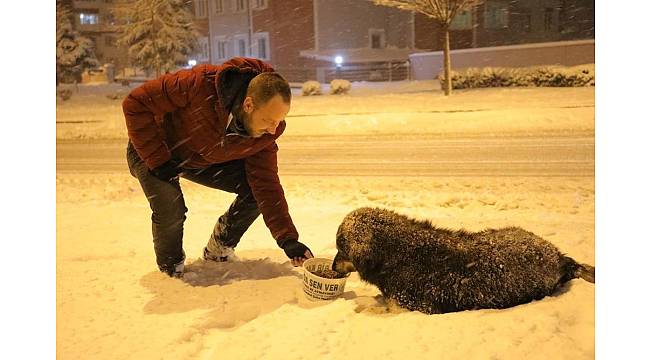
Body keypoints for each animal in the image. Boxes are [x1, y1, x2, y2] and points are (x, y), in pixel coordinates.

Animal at [334, 207, 592, 314]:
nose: (332, 267)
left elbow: (377, 306)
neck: (394, 255)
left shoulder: (412, 307)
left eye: (340, 248)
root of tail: (560, 258)